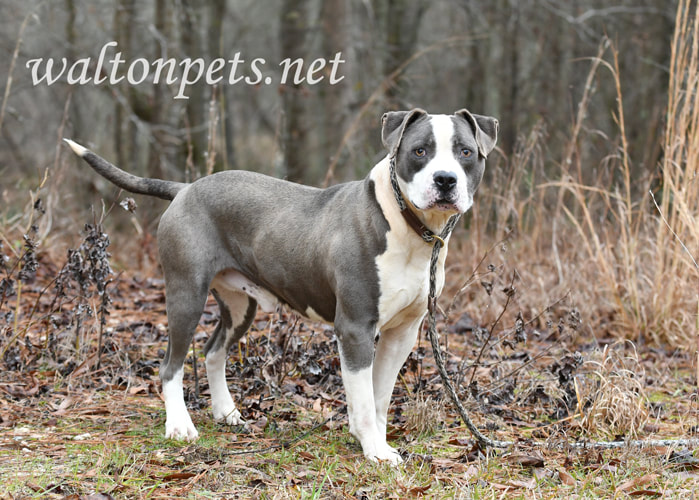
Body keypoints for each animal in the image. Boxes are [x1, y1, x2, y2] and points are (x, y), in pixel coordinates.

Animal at [63, 109, 494, 464]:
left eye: (465, 152)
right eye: (420, 151)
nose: (445, 180)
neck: (409, 226)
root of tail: (185, 188)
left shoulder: (402, 333)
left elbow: (379, 397)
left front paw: (376, 441)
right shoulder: (355, 329)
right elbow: (364, 398)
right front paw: (374, 449)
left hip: (239, 304)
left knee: (213, 350)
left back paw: (227, 412)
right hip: (186, 294)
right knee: (171, 364)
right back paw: (180, 426)